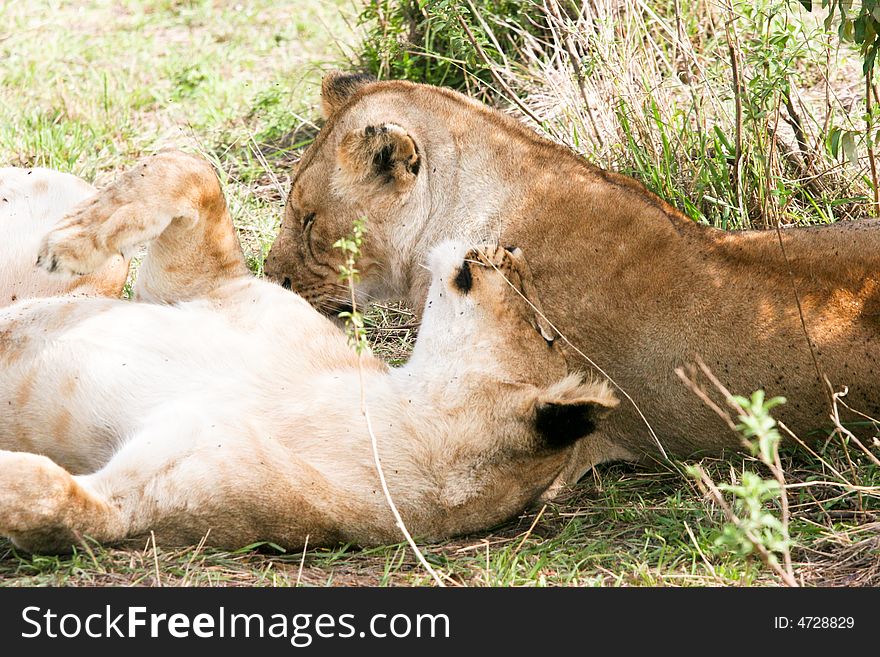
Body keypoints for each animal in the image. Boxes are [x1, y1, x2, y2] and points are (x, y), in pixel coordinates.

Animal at [0, 150, 616, 552]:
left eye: (545, 332)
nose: (511, 248)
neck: (385, 401)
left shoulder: (144, 507)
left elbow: (44, 497)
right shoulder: (200, 289)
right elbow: (190, 170)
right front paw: (71, 240)